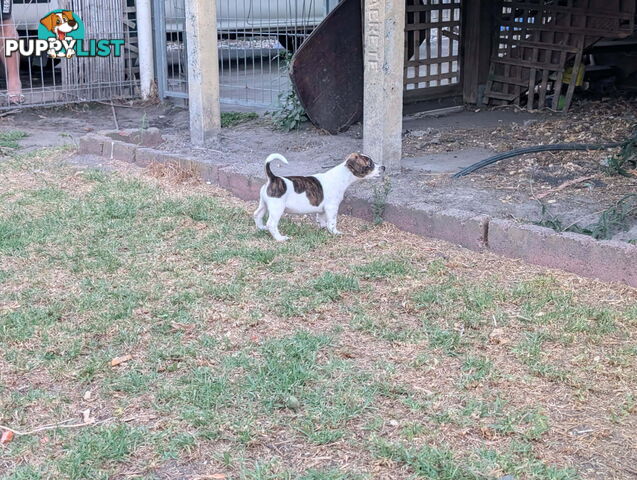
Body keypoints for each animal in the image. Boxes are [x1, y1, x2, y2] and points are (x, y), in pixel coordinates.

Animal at [252, 153, 382, 242]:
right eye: (370, 164)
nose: (384, 167)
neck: (342, 175)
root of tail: (273, 178)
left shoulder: (323, 209)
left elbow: (322, 218)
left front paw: (323, 227)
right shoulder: (332, 207)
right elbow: (332, 221)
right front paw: (335, 232)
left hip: (264, 204)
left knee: (257, 214)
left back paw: (261, 228)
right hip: (277, 208)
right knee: (271, 224)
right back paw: (280, 238)